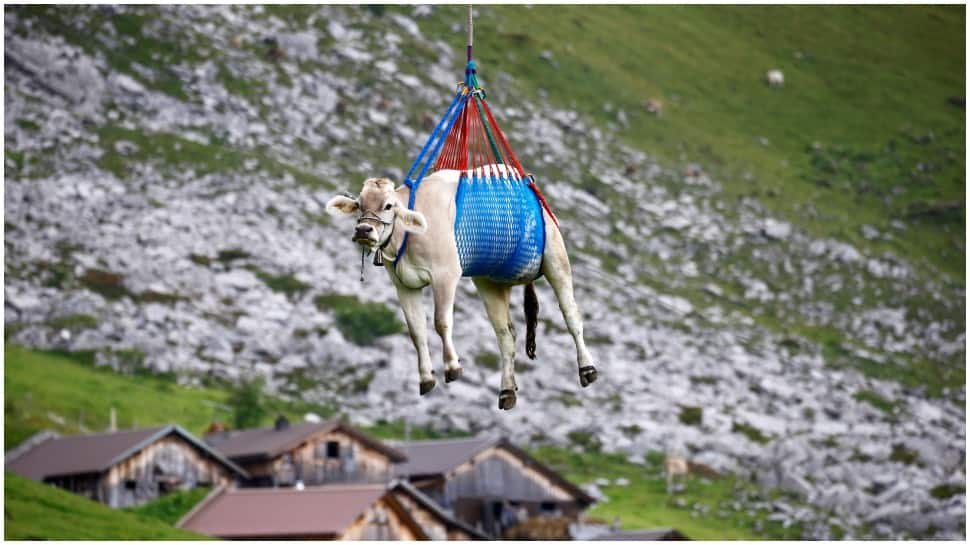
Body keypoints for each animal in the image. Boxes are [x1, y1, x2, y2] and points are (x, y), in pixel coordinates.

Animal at [328, 167, 596, 408]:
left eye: (388, 206)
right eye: (359, 204)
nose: (363, 230)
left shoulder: (445, 275)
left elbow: (441, 322)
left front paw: (452, 366)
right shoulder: (403, 285)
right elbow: (416, 332)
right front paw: (426, 378)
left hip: (555, 257)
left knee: (571, 315)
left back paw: (587, 368)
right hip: (490, 281)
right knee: (505, 336)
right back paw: (507, 391)